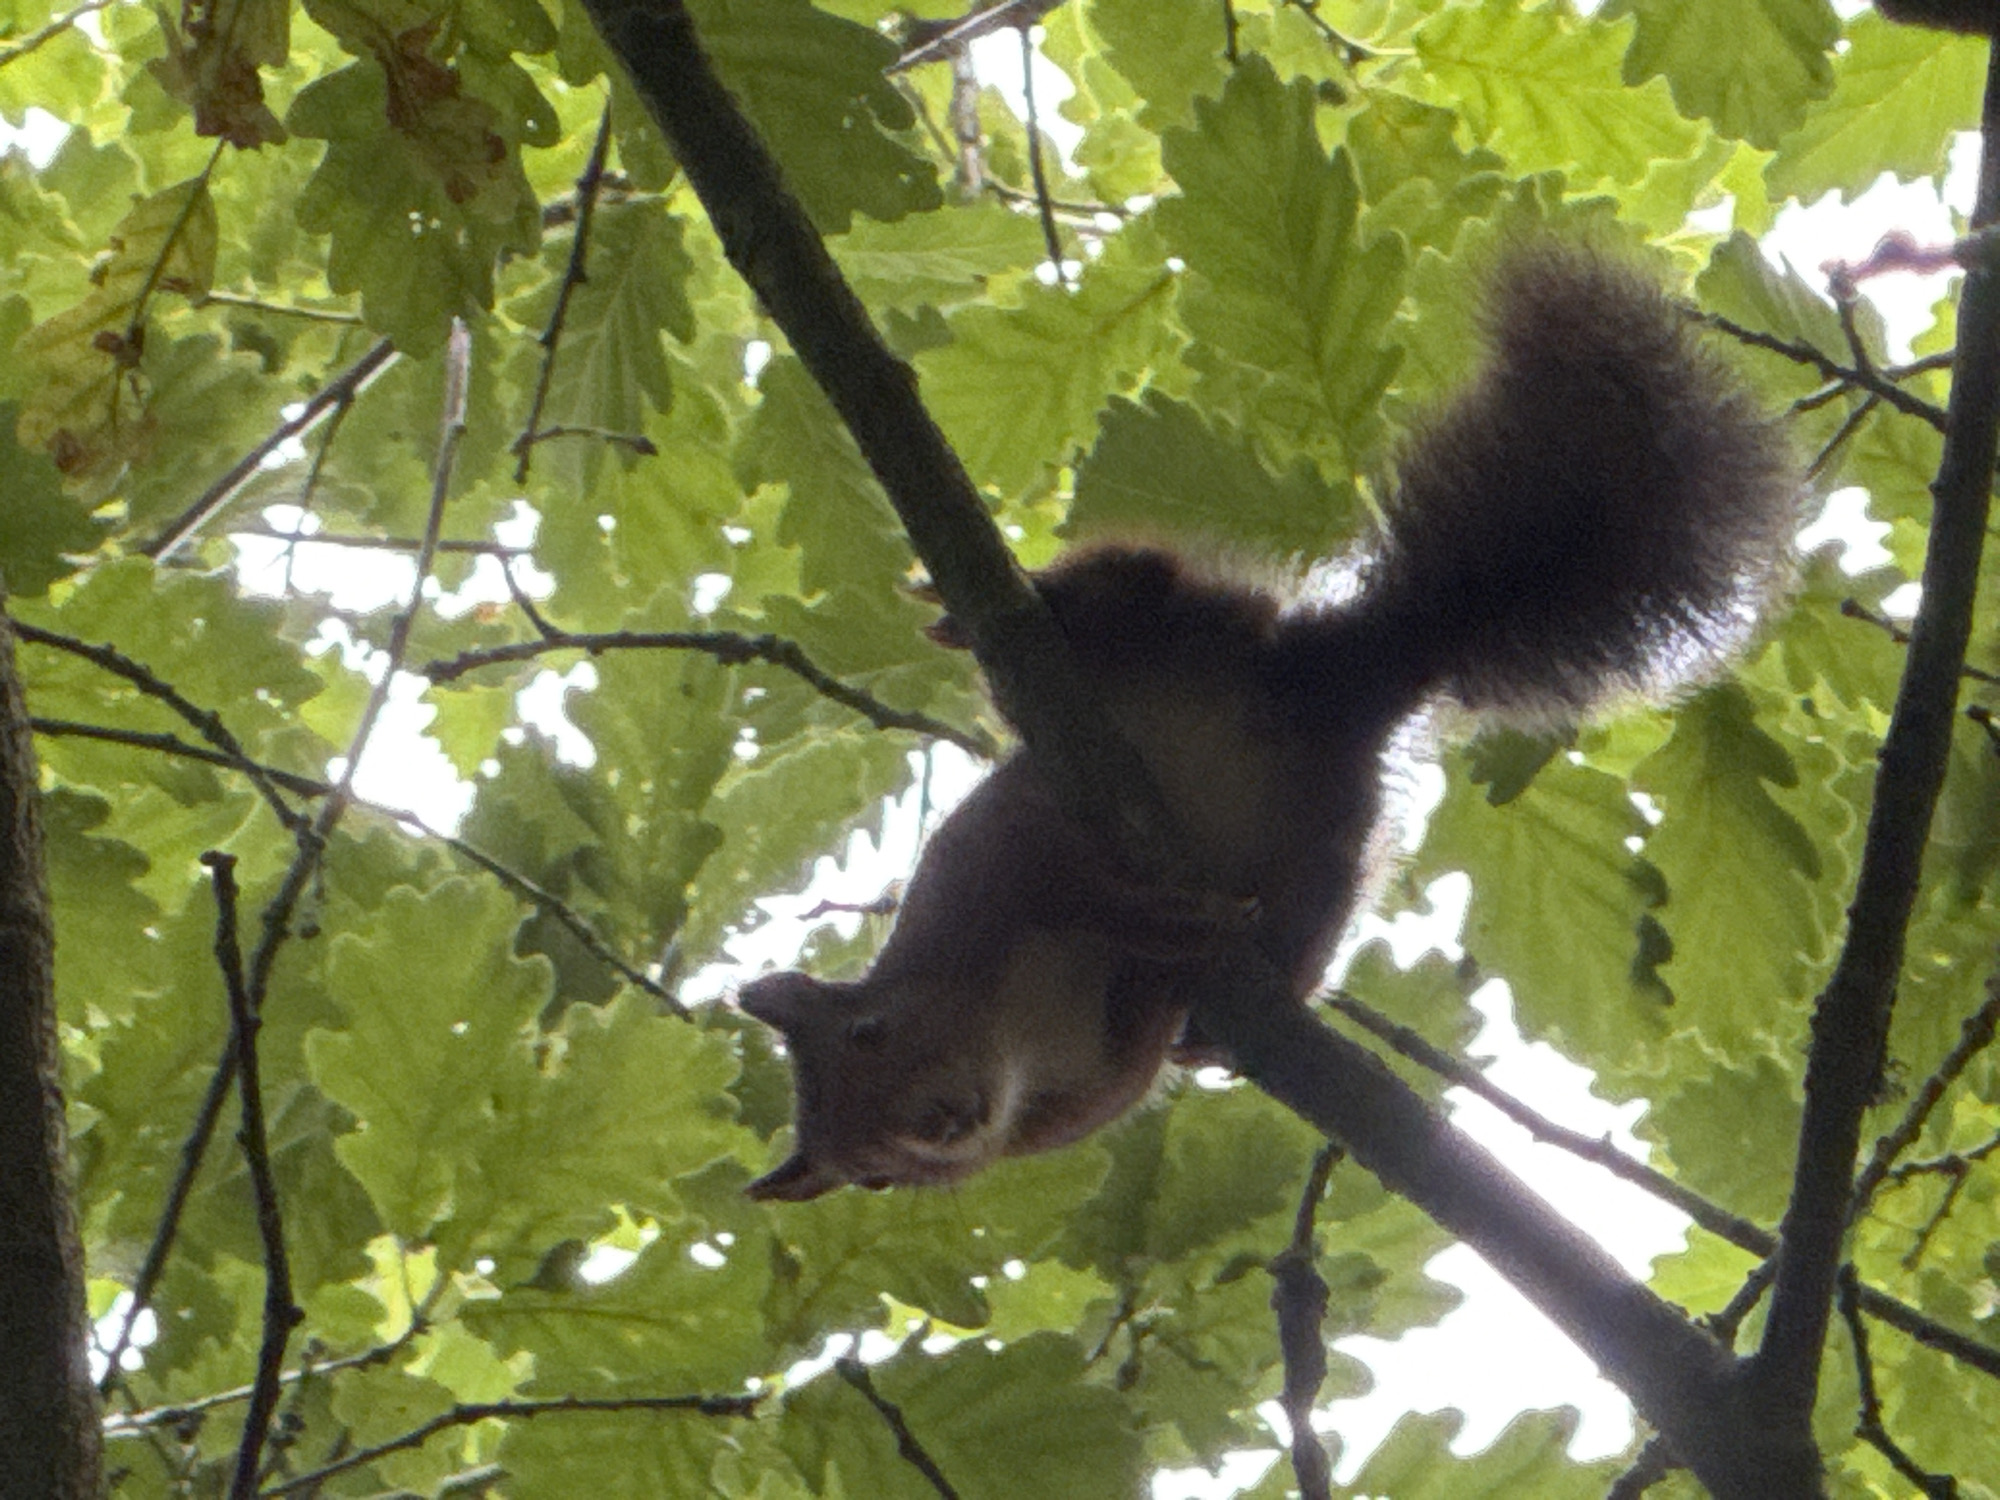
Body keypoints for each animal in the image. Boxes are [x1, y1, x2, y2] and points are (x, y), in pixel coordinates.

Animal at [738, 246, 1801, 1201]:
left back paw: (1028, 605)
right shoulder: (1084, 1096)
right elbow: (1139, 1037)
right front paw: (1168, 980)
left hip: (1182, 632)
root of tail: (1326, 683)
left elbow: (1061, 864)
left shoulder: (988, 856)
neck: (1014, 1033)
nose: (945, 1124)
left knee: (1129, 591)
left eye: (869, 1031)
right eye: (869, 1174)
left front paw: (1140, 918)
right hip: (1336, 829)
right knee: (1322, 897)